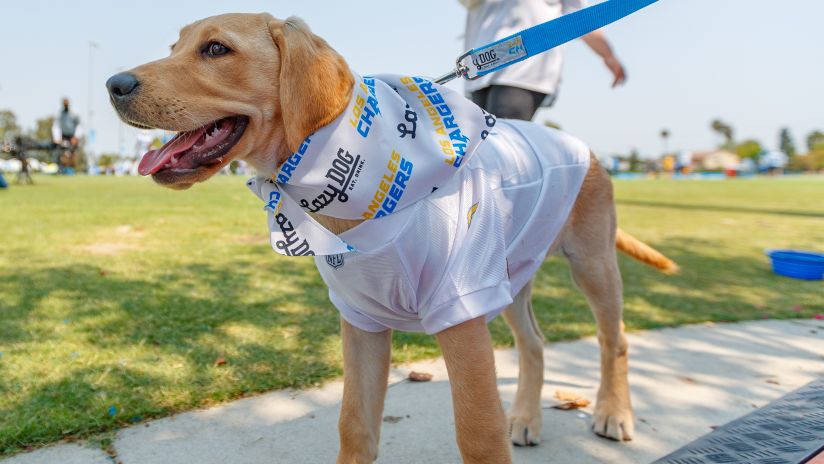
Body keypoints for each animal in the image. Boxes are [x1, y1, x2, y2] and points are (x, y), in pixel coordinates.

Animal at [108, 12, 676, 462]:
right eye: (174, 47)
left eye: (216, 49)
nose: (114, 84)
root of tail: (585, 147)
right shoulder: (361, 320)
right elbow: (354, 426)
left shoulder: (461, 314)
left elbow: (478, 435)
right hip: (510, 273)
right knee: (534, 343)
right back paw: (527, 418)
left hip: (590, 264)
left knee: (614, 340)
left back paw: (613, 413)